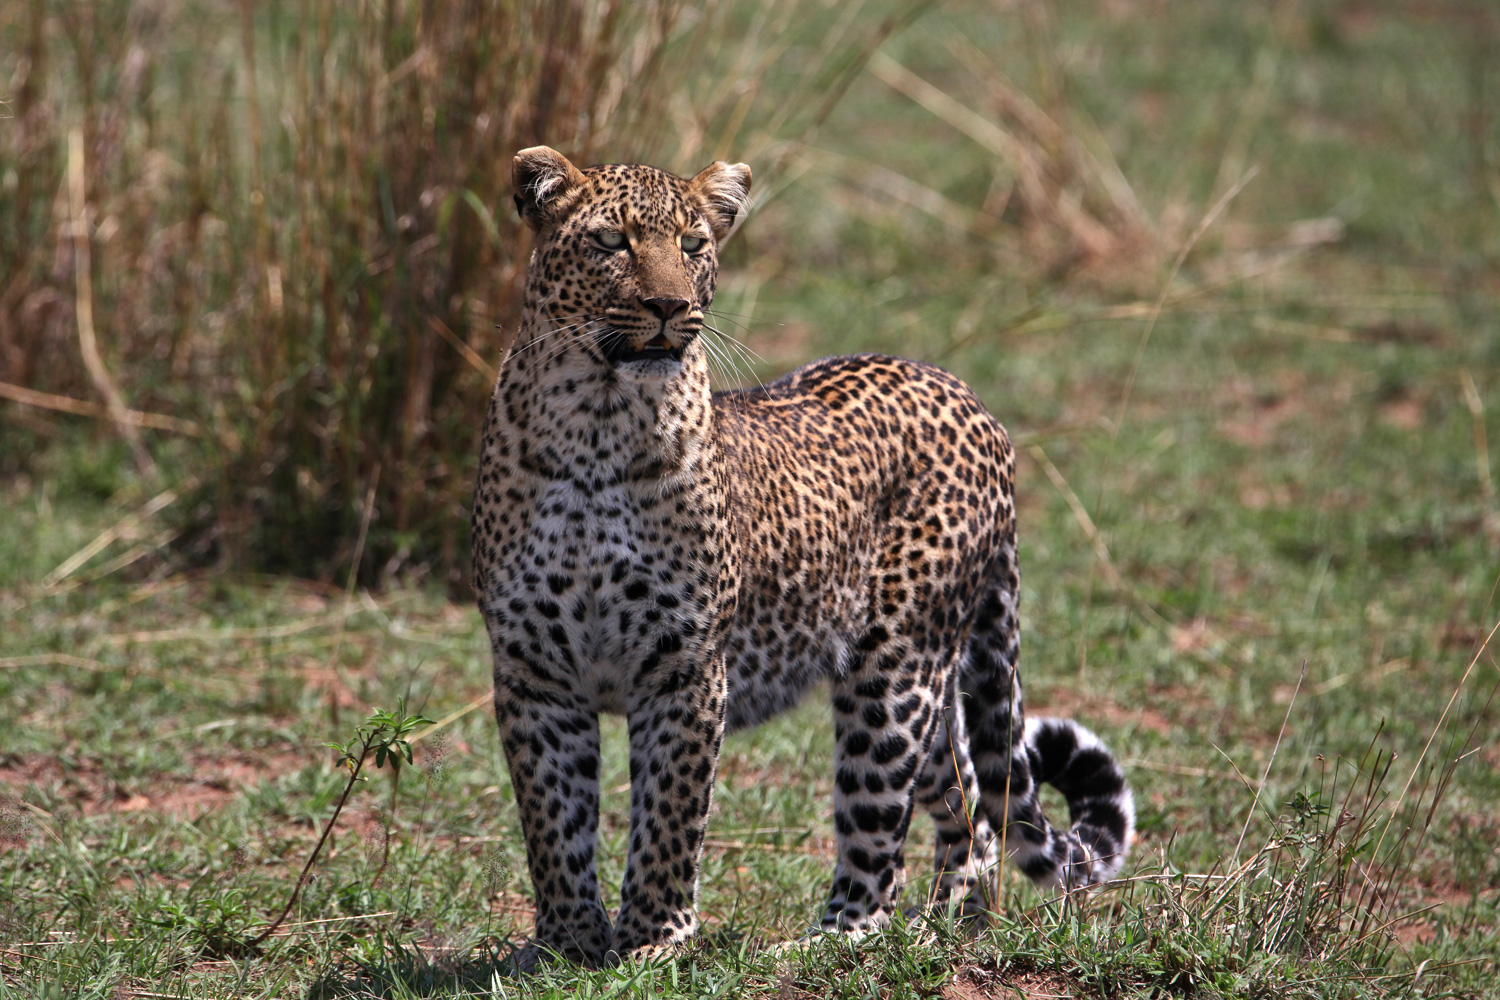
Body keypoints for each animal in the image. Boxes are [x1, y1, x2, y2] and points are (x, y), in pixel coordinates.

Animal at [474, 144, 1128, 965]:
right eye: (611, 243)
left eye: (693, 246)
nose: (668, 306)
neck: (597, 422)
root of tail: (971, 398)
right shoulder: (533, 671)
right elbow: (552, 819)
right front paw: (569, 943)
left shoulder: (687, 667)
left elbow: (669, 817)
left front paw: (655, 941)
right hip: (933, 691)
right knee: (972, 803)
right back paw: (954, 928)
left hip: (895, 674)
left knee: (880, 839)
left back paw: (836, 942)